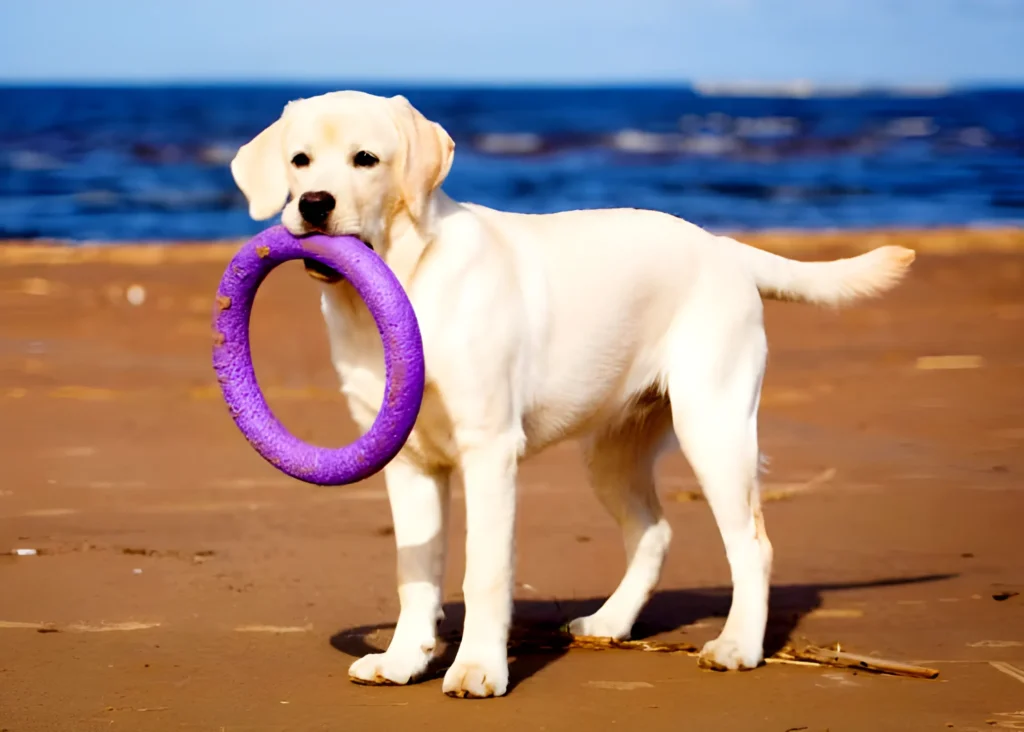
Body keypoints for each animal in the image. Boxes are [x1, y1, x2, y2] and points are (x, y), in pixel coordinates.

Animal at [230, 90, 913, 700]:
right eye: (299, 161)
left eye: (365, 159)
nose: (314, 204)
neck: (412, 279)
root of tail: (722, 247)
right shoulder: (407, 459)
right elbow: (414, 571)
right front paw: (403, 660)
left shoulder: (489, 451)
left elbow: (484, 572)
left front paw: (477, 669)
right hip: (611, 451)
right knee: (654, 532)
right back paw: (610, 622)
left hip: (713, 426)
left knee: (751, 544)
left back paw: (738, 645)